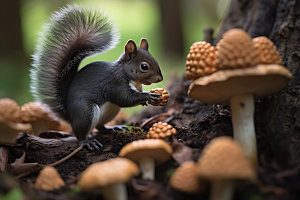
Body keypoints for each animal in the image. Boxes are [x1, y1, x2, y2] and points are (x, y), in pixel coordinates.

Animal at [30, 5, 163, 151]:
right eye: (144, 66)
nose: (160, 78)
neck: (133, 79)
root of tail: (70, 115)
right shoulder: (115, 82)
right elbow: (124, 98)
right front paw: (148, 96)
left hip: (111, 110)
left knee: (100, 126)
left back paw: (112, 128)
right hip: (86, 112)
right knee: (80, 133)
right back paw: (86, 142)